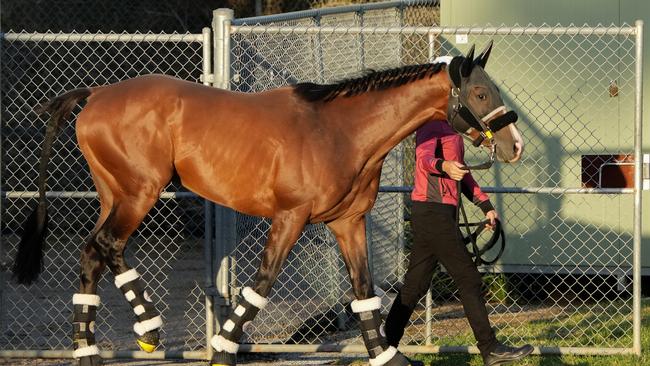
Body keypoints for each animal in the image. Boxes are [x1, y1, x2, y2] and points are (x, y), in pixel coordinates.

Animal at [13, 43, 520, 366]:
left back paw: (115, 344)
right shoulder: (290, 218)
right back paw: (132, 335)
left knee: (97, 254)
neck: (340, 130)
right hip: (139, 194)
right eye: (480, 93)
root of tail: (97, 94)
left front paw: (387, 357)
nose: (513, 144)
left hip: (116, 195)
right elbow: (261, 286)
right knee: (104, 247)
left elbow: (363, 293)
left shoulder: (348, 222)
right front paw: (222, 352)